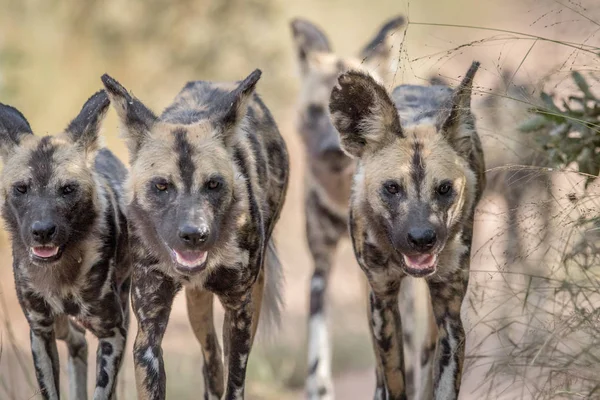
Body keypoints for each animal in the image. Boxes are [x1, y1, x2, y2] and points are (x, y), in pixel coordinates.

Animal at [0, 91, 131, 400]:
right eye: (21, 188)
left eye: (68, 189)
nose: (42, 231)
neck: (62, 275)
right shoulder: (40, 331)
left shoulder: (113, 331)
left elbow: (103, 390)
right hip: (57, 324)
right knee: (78, 340)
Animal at [102, 69, 290, 400]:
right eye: (161, 186)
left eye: (213, 184)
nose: (194, 235)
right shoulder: (148, 332)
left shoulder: (239, 313)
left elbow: (234, 384)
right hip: (197, 305)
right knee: (211, 359)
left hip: (250, 298)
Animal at [330, 61, 486, 398]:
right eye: (392, 188)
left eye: (444, 189)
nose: (422, 239)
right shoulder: (383, 305)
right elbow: (393, 381)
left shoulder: (450, 316)